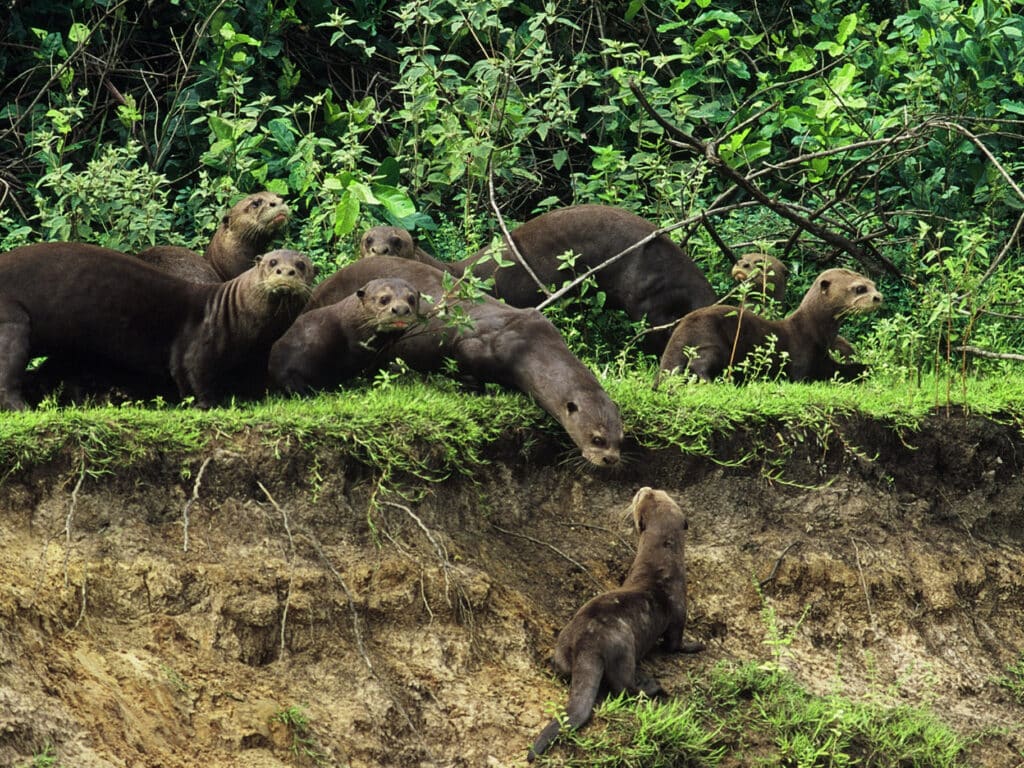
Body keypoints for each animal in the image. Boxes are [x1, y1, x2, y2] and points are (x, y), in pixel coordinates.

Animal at [0, 243, 313, 410]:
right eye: (272, 262)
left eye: (302, 265)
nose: (285, 272)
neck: (231, 316)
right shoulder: (196, 344)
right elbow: (192, 376)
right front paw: (209, 405)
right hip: (13, 320)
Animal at [297, 256, 624, 467]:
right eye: (597, 439)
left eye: (620, 437)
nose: (610, 459)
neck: (530, 347)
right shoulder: (471, 347)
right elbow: (467, 370)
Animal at [528, 487, 704, 761]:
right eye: (645, 497)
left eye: (657, 493)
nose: (644, 488)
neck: (661, 569)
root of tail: (587, 643)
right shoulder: (678, 611)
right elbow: (674, 643)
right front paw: (696, 645)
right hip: (623, 647)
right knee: (624, 686)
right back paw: (652, 686)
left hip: (565, 643)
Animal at [657, 267, 882, 384]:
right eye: (859, 289)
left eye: (873, 285)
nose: (878, 297)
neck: (812, 331)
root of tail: (681, 329)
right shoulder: (801, 358)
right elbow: (801, 378)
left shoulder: (823, 359)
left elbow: (844, 369)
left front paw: (870, 369)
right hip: (711, 341)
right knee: (697, 365)